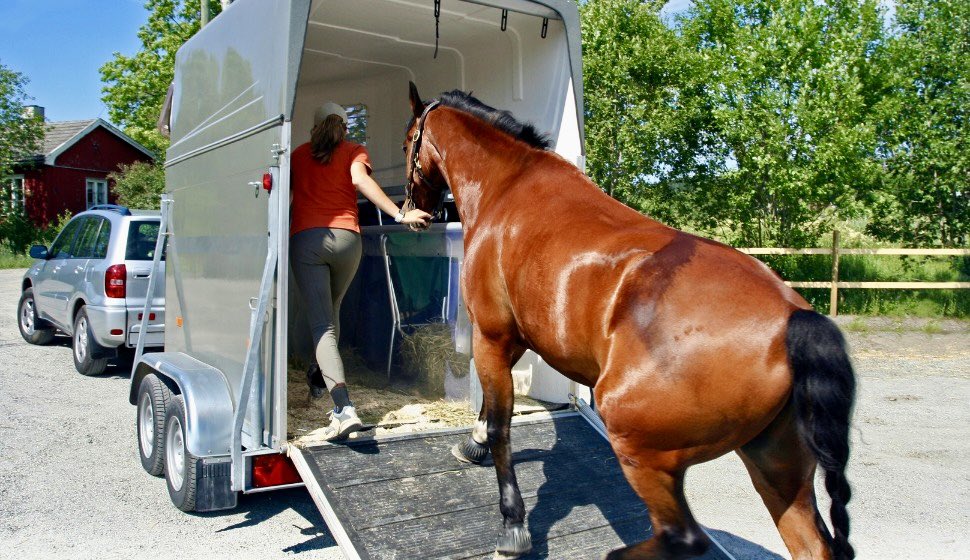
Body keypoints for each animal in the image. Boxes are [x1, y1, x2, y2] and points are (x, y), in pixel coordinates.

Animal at [401, 82, 856, 560]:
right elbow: (490, 412)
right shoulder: (517, 336)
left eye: (407, 140)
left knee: (684, 538)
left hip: (642, 449)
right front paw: (472, 445)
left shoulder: (492, 334)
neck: (508, 187)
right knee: (811, 546)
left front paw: (512, 523)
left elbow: (501, 427)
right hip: (777, 469)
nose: (413, 211)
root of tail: (796, 320)